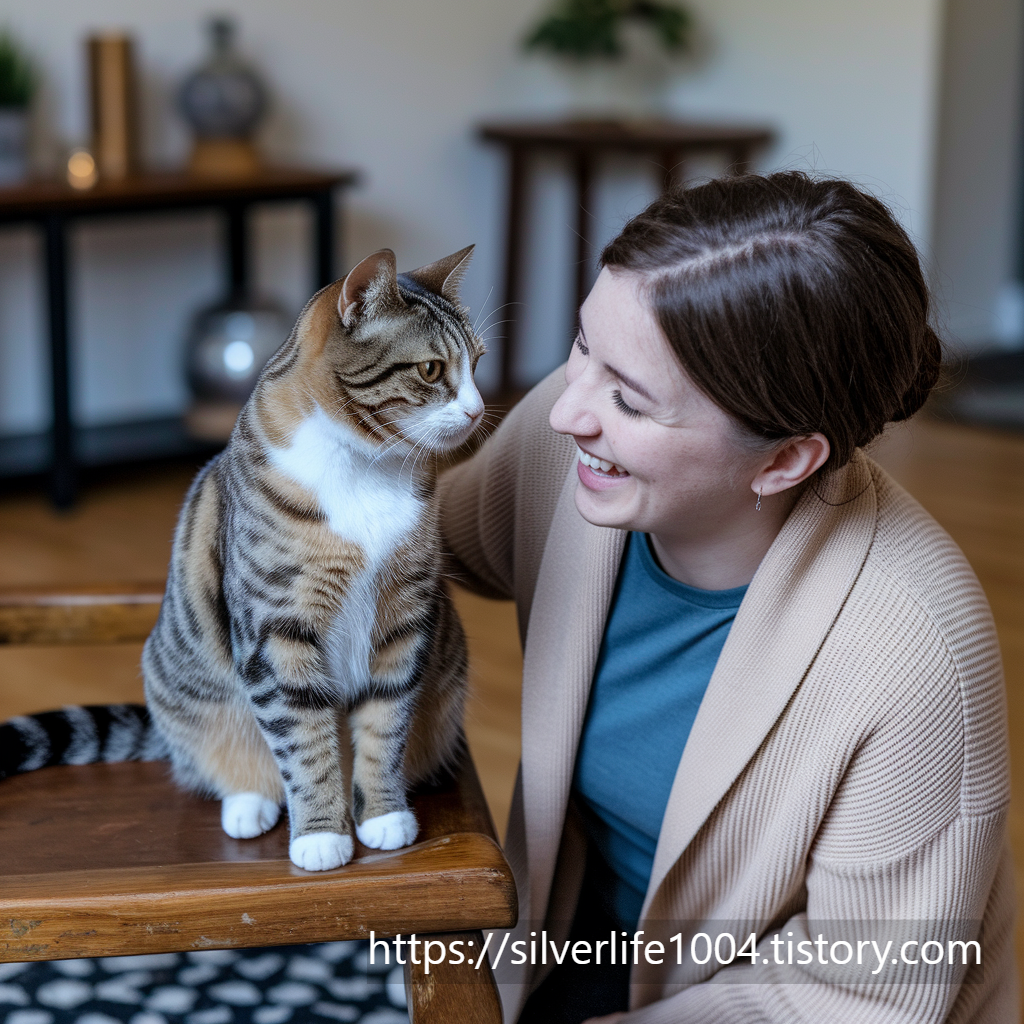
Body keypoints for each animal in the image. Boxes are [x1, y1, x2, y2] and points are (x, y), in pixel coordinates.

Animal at [0, 245, 485, 872]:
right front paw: (321, 837)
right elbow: (305, 742)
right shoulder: (277, 630)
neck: (365, 470)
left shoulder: (404, 621)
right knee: (231, 766)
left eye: (478, 361)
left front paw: (381, 816)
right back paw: (249, 805)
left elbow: (384, 726)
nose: (478, 411)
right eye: (430, 370)